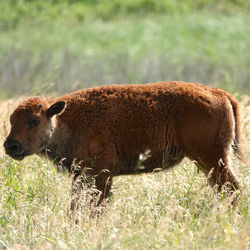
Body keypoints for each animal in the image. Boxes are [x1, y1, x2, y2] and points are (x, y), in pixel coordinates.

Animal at [3, 81, 242, 207]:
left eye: (35, 120)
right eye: (12, 120)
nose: (10, 146)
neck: (65, 120)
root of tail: (219, 93)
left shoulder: (102, 174)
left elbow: (97, 206)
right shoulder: (80, 176)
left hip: (211, 159)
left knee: (232, 189)